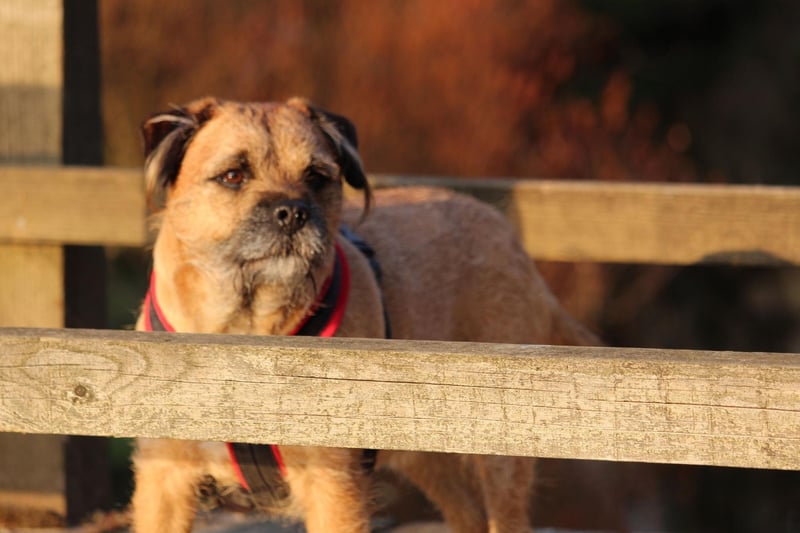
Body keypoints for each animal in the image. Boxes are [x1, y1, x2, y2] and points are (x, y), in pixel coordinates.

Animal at [130, 96, 592, 532]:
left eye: (316, 176)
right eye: (232, 175)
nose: (293, 212)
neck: (241, 331)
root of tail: (509, 236)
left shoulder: (332, 484)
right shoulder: (164, 478)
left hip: (503, 446)